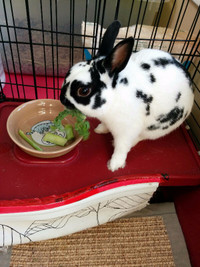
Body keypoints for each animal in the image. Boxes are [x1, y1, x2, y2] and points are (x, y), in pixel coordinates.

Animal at [59, 20, 194, 172]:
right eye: (68, 73)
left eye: (84, 91)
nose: (62, 99)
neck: (114, 98)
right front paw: (100, 129)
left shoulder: (126, 131)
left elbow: (121, 148)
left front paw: (114, 165)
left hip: (157, 128)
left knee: (142, 137)